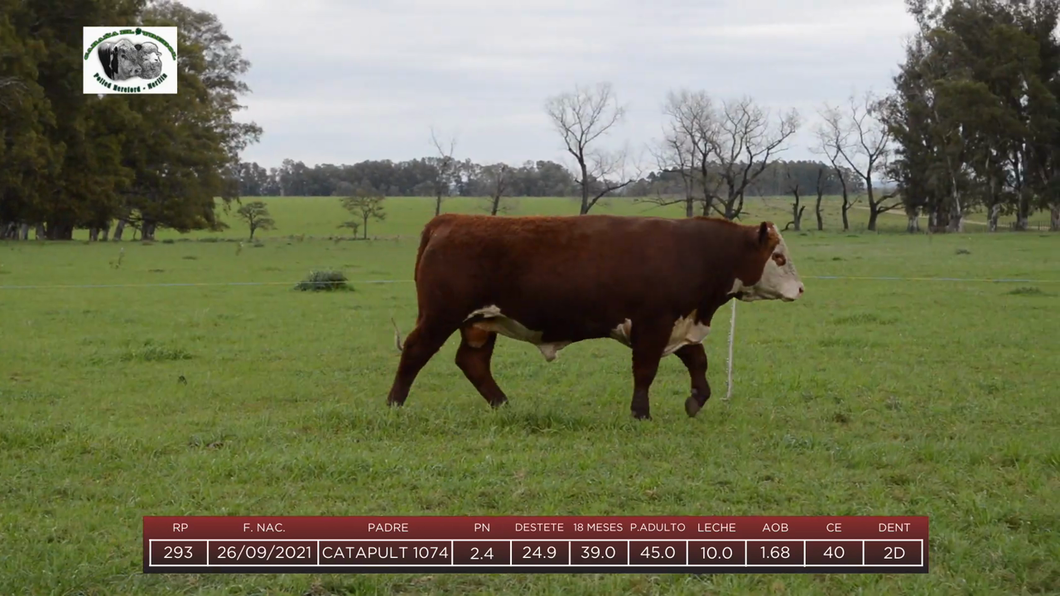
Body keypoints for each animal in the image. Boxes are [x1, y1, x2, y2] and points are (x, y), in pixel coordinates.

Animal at [390, 213, 801, 417]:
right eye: (779, 258)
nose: (800, 289)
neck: (698, 251)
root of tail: (450, 219)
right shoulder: (652, 324)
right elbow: (646, 370)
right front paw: (640, 412)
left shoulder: (677, 323)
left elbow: (698, 362)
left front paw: (695, 401)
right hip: (441, 315)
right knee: (415, 351)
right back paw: (394, 403)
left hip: (479, 322)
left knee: (472, 362)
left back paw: (503, 405)